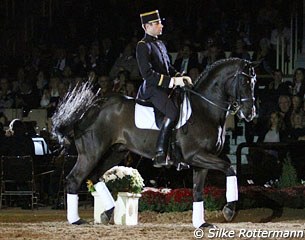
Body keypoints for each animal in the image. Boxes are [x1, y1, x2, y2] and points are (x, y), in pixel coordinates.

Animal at [51, 57, 254, 227]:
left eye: (254, 83)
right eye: (245, 82)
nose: (250, 114)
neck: (204, 109)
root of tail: (92, 109)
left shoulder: (201, 161)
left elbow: (198, 191)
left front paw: (201, 224)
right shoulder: (196, 155)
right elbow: (230, 168)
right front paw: (229, 210)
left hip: (116, 151)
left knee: (95, 176)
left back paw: (108, 213)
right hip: (92, 153)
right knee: (74, 178)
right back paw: (75, 220)